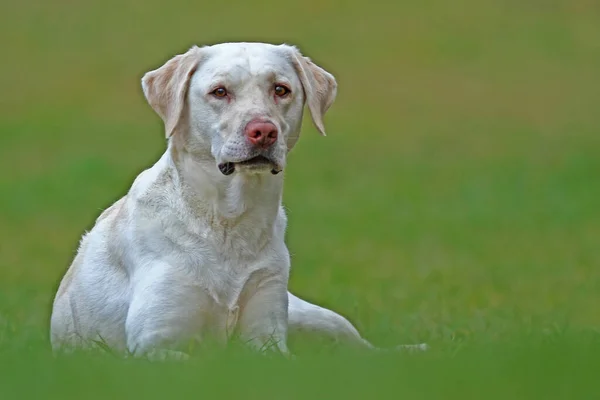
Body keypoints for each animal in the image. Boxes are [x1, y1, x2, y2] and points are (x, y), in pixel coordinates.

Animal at [52, 43, 426, 360]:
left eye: (281, 89)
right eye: (219, 91)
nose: (263, 131)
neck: (230, 219)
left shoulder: (268, 334)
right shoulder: (153, 344)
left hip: (314, 316)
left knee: (361, 351)